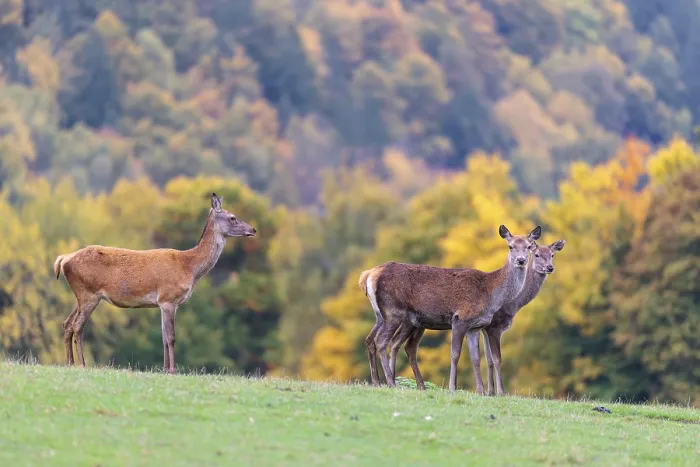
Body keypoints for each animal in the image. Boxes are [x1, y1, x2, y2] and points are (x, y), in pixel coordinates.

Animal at [53, 193, 256, 374]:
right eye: (233, 217)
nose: (253, 230)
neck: (189, 267)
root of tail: (63, 260)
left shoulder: (162, 303)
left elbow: (164, 337)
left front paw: (164, 369)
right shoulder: (168, 299)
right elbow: (172, 337)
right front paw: (173, 370)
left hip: (80, 295)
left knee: (67, 323)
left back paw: (70, 362)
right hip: (89, 294)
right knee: (77, 326)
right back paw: (82, 364)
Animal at [359, 225, 541, 392]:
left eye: (529, 247)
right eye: (510, 246)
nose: (521, 260)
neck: (489, 293)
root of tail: (368, 275)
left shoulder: (475, 327)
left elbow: (475, 357)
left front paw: (481, 391)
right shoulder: (460, 318)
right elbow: (455, 354)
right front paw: (453, 387)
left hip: (387, 316)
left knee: (374, 339)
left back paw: (379, 382)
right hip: (394, 311)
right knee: (382, 341)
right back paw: (390, 382)